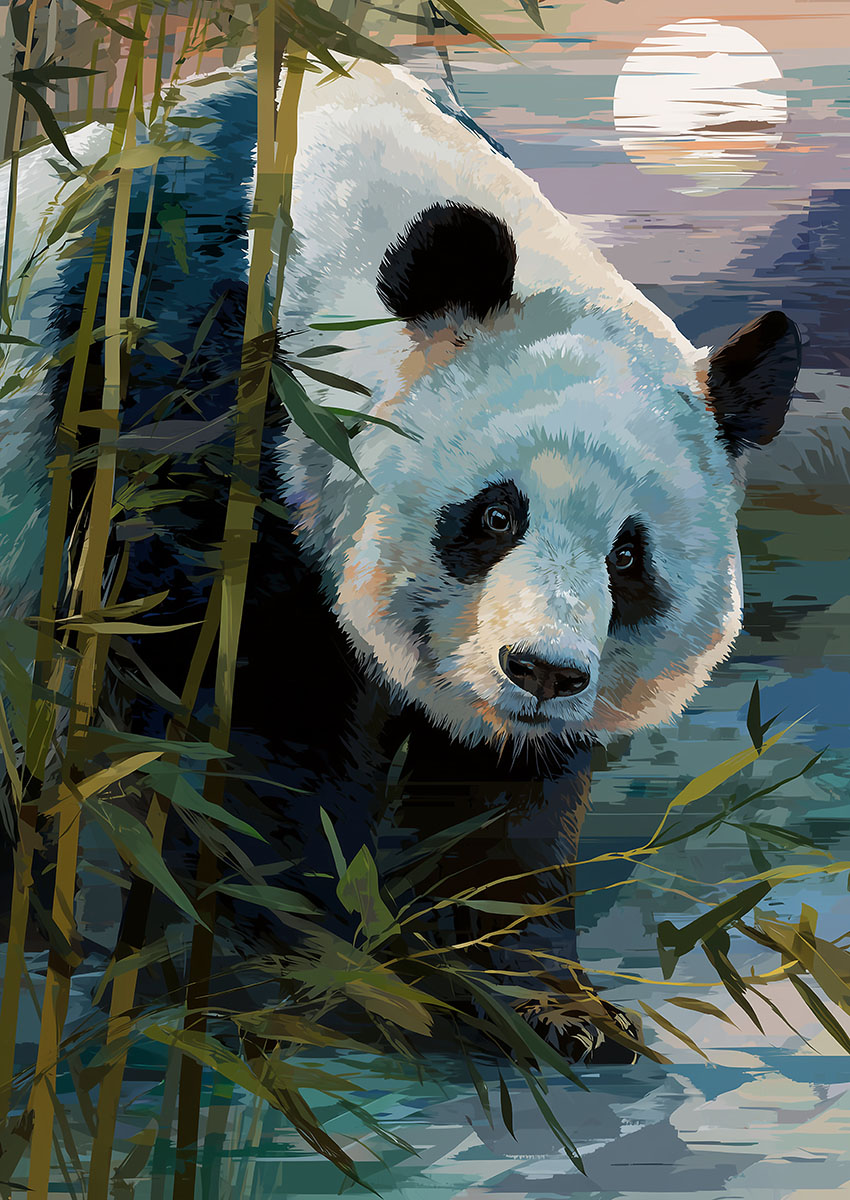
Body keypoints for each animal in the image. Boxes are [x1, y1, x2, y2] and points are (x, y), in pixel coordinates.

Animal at [0, 56, 801, 1062]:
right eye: (495, 514)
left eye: (628, 556)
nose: (542, 671)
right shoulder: (172, 382)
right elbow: (236, 703)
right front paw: (332, 982)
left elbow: (502, 789)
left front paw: (549, 1005)